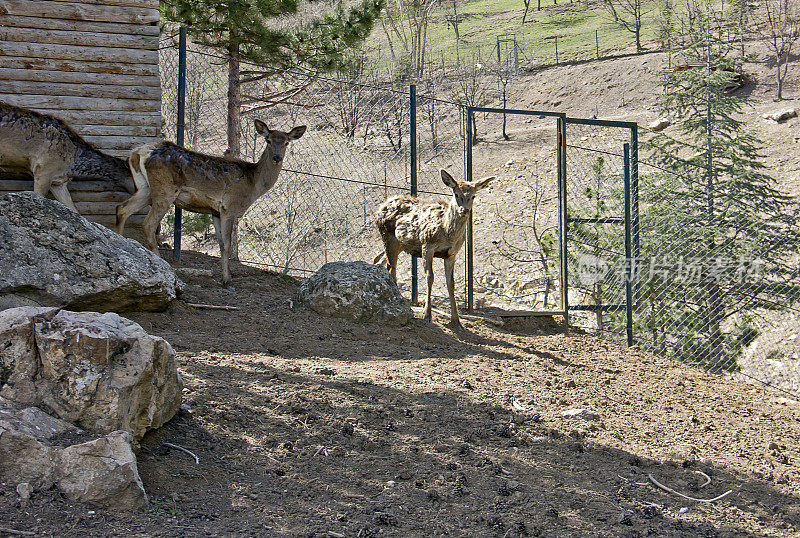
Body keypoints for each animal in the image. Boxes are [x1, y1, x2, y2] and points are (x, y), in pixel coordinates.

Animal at [115, 118, 306, 284]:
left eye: (286, 142)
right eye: (268, 140)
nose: (276, 158)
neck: (253, 184)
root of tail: (138, 152)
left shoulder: (215, 211)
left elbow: (221, 243)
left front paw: (225, 275)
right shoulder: (229, 207)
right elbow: (228, 244)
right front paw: (227, 280)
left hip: (145, 188)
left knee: (122, 208)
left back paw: (120, 243)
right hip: (165, 189)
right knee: (148, 224)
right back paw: (161, 263)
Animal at [374, 168, 494, 326]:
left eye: (473, 196)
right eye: (456, 194)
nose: (464, 210)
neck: (448, 233)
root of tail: (379, 208)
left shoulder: (451, 254)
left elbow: (451, 283)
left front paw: (456, 320)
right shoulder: (427, 245)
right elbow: (429, 277)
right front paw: (427, 314)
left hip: (399, 244)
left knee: (383, 262)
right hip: (387, 236)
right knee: (391, 267)